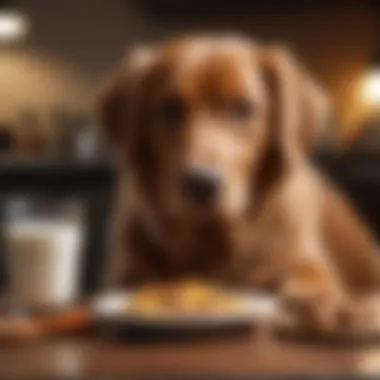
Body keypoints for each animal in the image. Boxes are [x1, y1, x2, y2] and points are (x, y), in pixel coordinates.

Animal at [97, 35, 380, 332]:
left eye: (243, 108)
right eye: (170, 109)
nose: (201, 184)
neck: (213, 240)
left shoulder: (307, 263)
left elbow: (310, 282)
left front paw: (325, 307)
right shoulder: (125, 273)